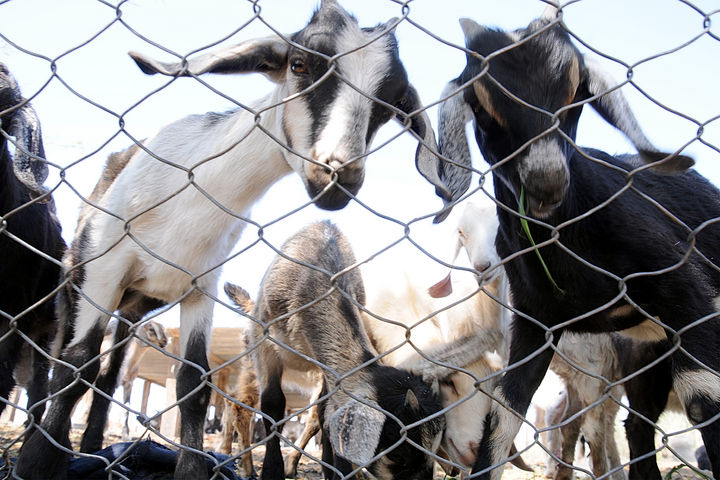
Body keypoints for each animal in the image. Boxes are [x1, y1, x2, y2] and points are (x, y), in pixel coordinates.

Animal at [242, 220, 444, 480]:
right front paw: (272, 470)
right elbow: (272, 403)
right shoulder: (264, 333)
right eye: (396, 454)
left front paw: (333, 468)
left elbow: (327, 411)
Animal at [430, 8, 720, 480]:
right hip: (645, 353)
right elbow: (504, 418)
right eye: (482, 108)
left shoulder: (687, 291)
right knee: (638, 423)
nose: (546, 183)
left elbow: (703, 401)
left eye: (576, 93)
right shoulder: (534, 323)